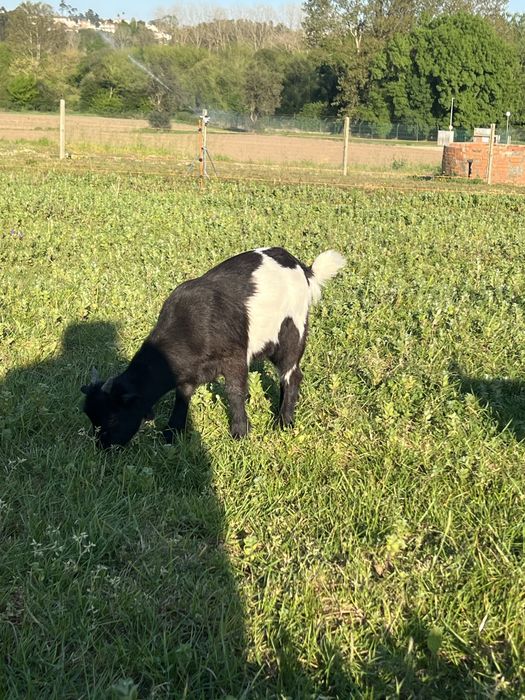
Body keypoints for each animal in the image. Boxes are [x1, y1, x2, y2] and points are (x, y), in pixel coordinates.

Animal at [81, 247, 346, 448]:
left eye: (112, 418)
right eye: (91, 417)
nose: (104, 448)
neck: (189, 328)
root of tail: (300, 266)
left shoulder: (235, 357)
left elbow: (235, 392)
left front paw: (240, 433)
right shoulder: (188, 372)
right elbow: (182, 395)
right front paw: (172, 432)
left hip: (292, 330)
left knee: (292, 374)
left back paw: (284, 422)